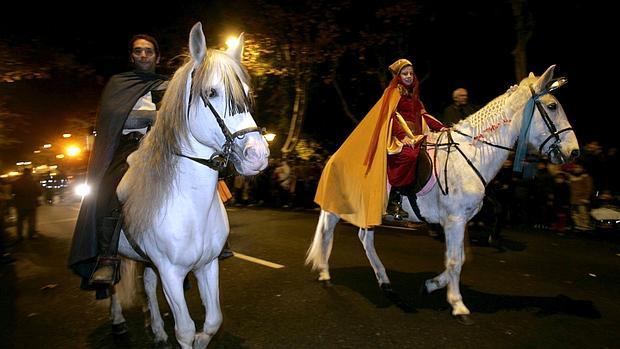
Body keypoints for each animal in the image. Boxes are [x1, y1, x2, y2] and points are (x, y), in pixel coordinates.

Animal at [108, 22, 268, 348]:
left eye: (246, 94)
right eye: (212, 92)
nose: (257, 156)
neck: (191, 208)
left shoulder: (208, 265)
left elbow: (211, 321)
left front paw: (198, 338)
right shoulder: (171, 273)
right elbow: (184, 329)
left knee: (147, 282)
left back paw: (157, 331)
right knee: (113, 285)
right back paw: (118, 321)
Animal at [308, 65, 580, 324]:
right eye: (552, 106)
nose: (574, 151)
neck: (472, 153)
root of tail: (334, 155)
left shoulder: (459, 221)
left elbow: (458, 258)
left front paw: (431, 285)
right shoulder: (454, 220)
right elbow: (454, 261)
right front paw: (458, 305)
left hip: (370, 211)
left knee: (365, 238)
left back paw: (385, 284)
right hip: (341, 206)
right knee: (327, 231)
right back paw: (324, 273)